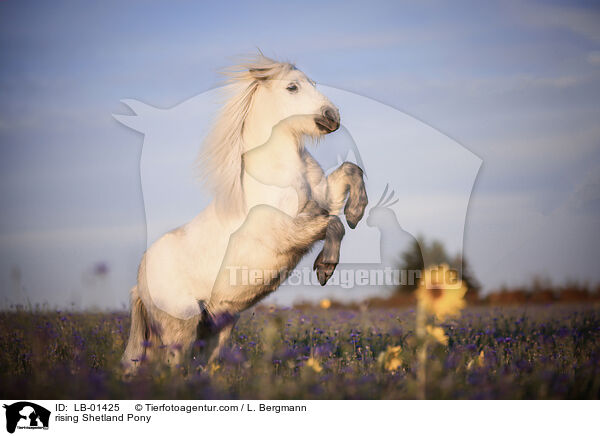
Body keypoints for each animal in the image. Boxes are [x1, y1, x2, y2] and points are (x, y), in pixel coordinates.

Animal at [120, 55, 366, 372]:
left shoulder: (323, 200)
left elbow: (351, 172)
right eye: (292, 87)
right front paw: (325, 268)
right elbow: (335, 225)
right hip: (180, 329)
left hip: (216, 328)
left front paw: (356, 212)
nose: (332, 116)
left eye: (312, 83)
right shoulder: (288, 232)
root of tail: (139, 285)